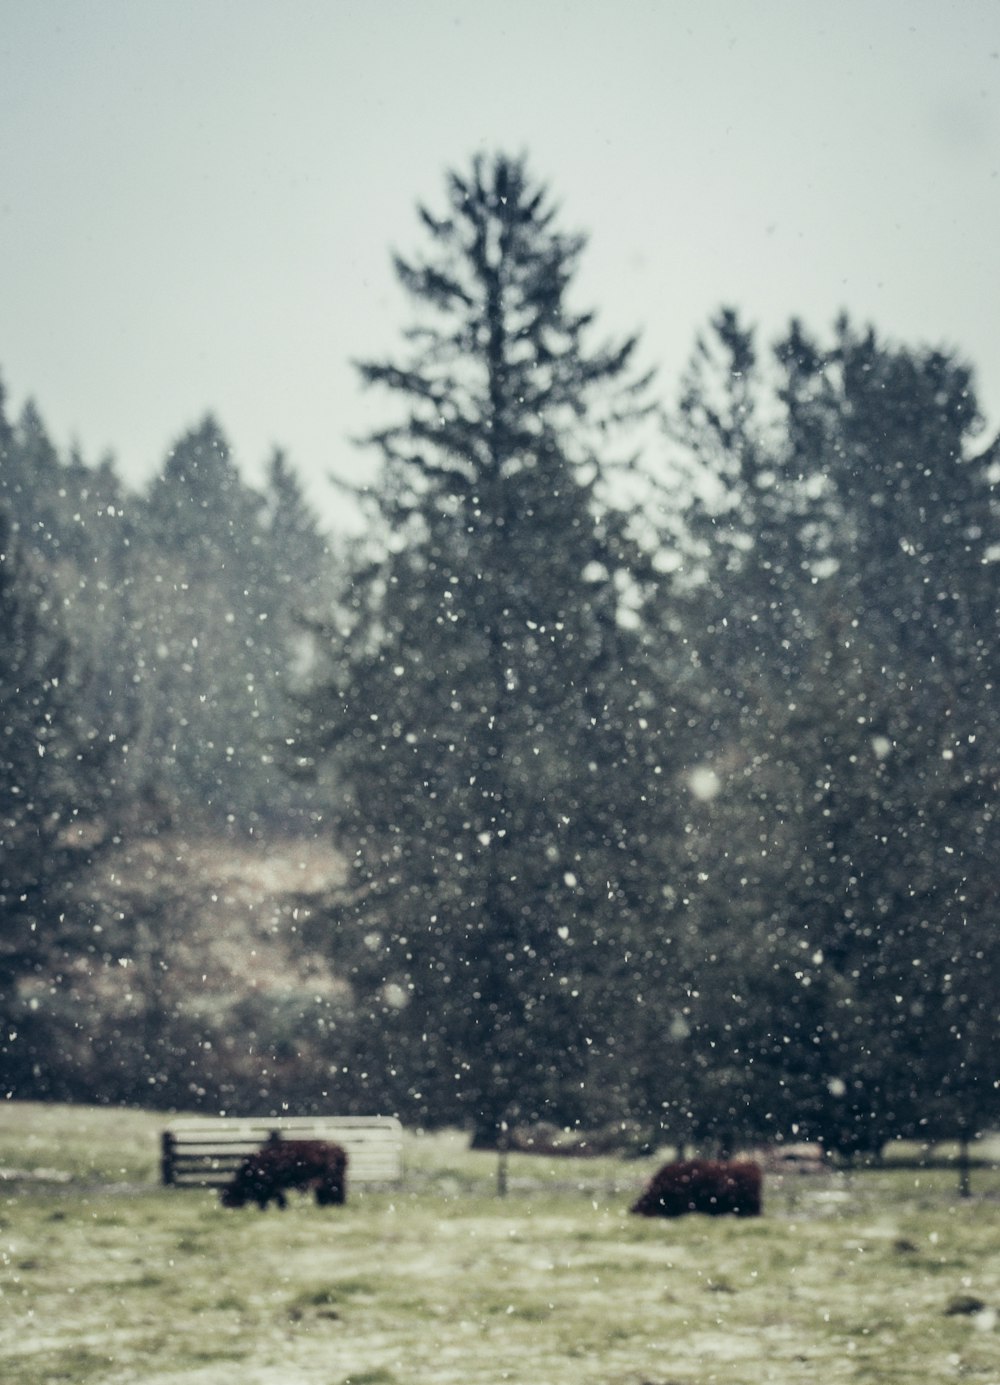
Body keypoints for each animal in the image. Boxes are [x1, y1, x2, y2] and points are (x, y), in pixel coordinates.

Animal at [218, 1141, 346, 1207]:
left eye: (229, 1194)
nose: (226, 1205)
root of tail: (339, 1149)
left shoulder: (270, 1187)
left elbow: (274, 1199)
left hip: (332, 1180)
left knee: (337, 1191)